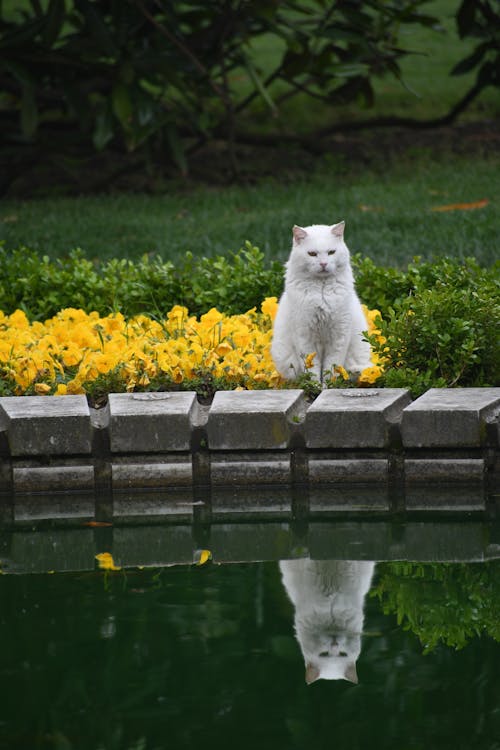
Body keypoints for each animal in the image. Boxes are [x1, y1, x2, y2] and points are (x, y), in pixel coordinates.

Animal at [270, 222, 372, 388]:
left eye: (331, 252)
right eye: (312, 254)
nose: (323, 263)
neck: (322, 291)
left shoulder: (339, 336)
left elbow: (332, 367)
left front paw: (328, 386)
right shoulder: (305, 337)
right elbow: (312, 369)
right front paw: (316, 386)